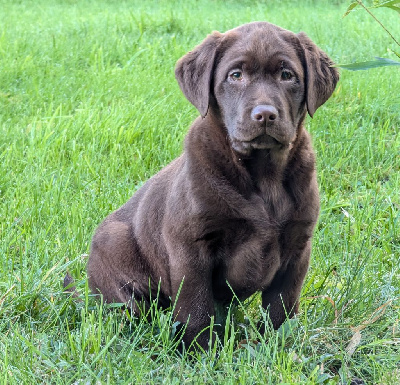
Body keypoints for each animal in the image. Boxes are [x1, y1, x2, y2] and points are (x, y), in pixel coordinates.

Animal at [87, 22, 338, 350]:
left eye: (287, 75)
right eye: (236, 75)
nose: (265, 115)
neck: (263, 174)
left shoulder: (298, 247)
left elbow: (282, 306)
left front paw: (277, 346)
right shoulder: (191, 246)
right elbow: (196, 307)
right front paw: (198, 352)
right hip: (115, 251)